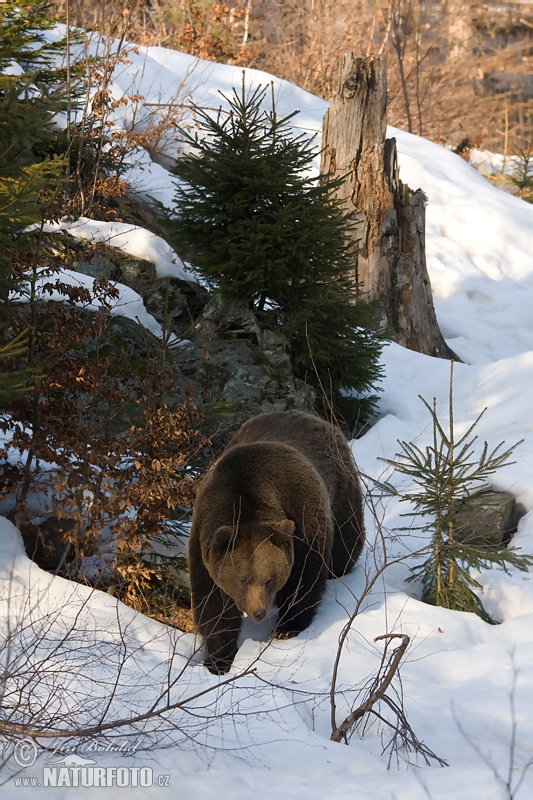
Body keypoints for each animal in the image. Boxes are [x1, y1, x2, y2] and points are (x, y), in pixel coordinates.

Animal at [185, 412, 364, 676]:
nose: (258, 611)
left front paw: (286, 627)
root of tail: (313, 417)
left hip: (341, 489)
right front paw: (218, 660)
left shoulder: (303, 521)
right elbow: (213, 605)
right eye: (242, 579)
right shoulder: (204, 542)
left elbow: (303, 581)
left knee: (346, 543)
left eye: (269, 579)